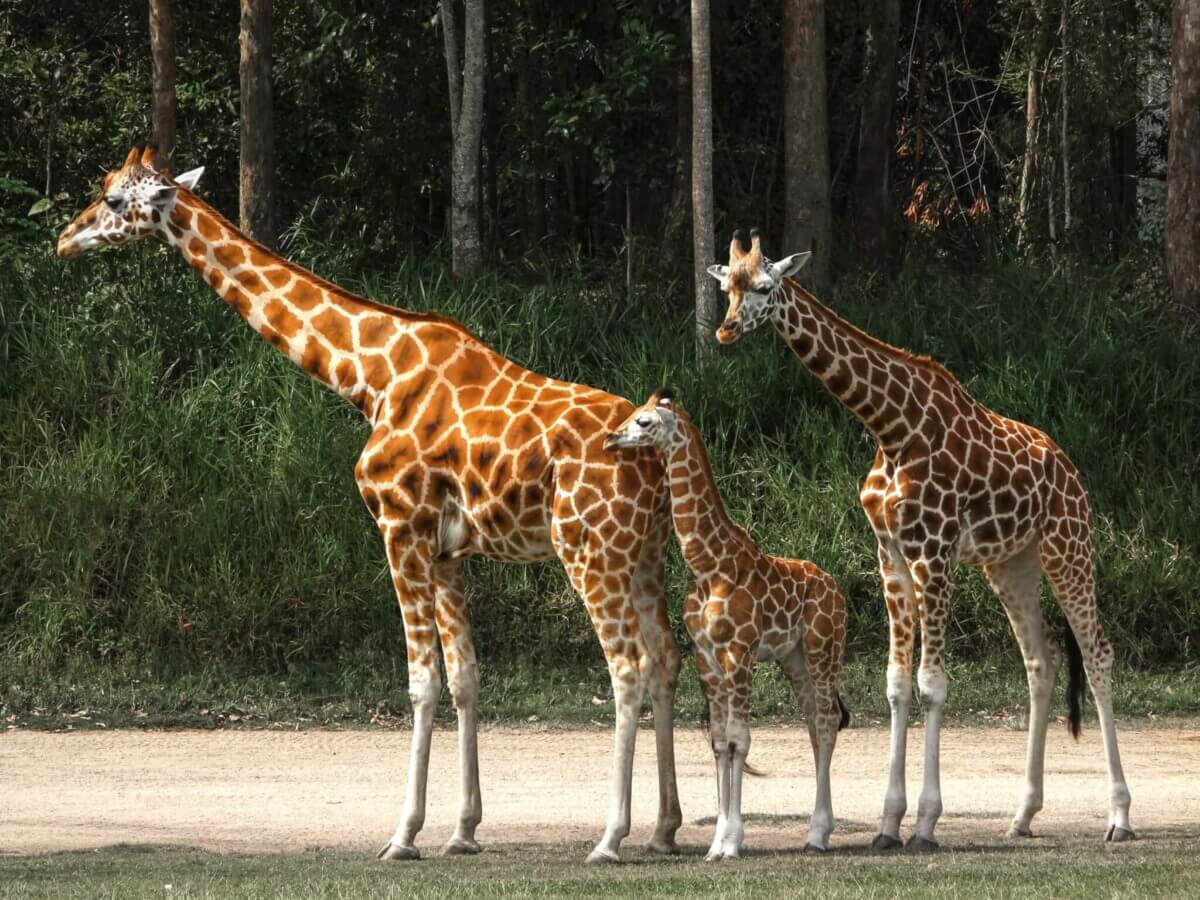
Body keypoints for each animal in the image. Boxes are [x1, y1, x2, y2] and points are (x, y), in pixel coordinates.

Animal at [56, 143, 685, 864]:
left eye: (111, 199)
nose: (65, 239)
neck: (369, 377)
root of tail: (653, 456)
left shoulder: (398, 526)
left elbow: (421, 682)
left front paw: (403, 834)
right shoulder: (449, 550)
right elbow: (466, 677)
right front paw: (463, 830)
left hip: (588, 548)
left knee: (627, 666)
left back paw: (610, 837)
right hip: (645, 553)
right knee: (666, 658)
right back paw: (666, 828)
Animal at [605, 389, 849, 858]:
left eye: (644, 422)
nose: (610, 439)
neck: (707, 564)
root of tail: (835, 588)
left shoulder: (740, 652)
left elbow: (740, 739)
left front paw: (732, 842)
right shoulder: (706, 656)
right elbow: (720, 742)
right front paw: (716, 841)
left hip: (823, 646)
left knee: (828, 722)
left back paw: (817, 835)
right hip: (793, 656)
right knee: (814, 721)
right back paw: (818, 831)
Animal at [706, 229, 1133, 849]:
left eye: (764, 286)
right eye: (727, 289)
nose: (726, 330)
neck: (890, 427)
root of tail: (1072, 470)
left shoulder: (935, 551)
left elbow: (932, 684)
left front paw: (926, 823)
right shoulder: (890, 553)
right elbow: (896, 685)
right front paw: (888, 824)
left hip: (1068, 545)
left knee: (1097, 652)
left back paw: (1119, 816)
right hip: (1011, 564)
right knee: (1042, 660)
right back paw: (1022, 815)